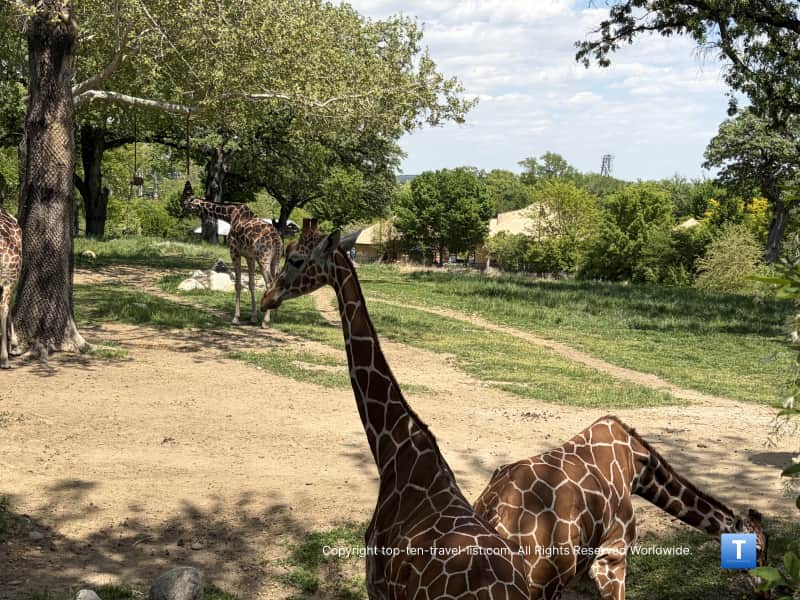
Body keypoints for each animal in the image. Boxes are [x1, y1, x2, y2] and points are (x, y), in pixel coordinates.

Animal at [182, 182, 283, 327]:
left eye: (185, 202)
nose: (180, 212)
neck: (230, 215)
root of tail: (276, 240)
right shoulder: (249, 256)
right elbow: (251, 284)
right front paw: (253, 317)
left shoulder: (234, 252)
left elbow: (238, 284)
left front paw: (236, 318)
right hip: (276, 258)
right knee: (276, 282)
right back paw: (273, 315)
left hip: (263, 259)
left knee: (269, 284)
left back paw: (265, 321)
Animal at [474, 415, 769, 600]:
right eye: (756, 549)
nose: (767, 591)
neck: (639, 470)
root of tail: (495, 514)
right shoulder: (612, 556)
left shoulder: (585, 571)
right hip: (542, 582)